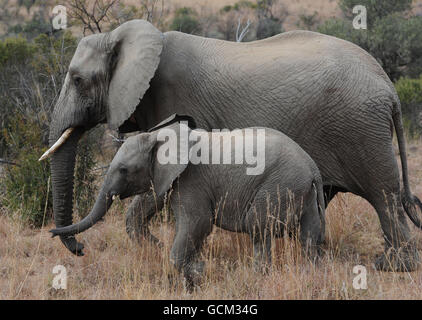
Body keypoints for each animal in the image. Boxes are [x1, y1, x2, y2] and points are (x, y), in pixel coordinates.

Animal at [42, 19, 422, 270]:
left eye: (78, 80)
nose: (80, 249)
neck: (134, 38)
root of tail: (389, 87)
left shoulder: (172, 98)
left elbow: (156, 189)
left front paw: (153, 247)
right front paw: (153, 248)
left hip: (361, 131)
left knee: (384, 196)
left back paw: (392, 266)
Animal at [50, 116, 326, 288]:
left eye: (124, 170)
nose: (81, 249)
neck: (160, 136)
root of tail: (313, 168)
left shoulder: (192, 179)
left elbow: (198, 223)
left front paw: (200, 271)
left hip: (278, 185)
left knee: (258, 228)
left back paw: (257, 277)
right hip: (305, 193)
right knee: (310, 236)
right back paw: (311, 274)